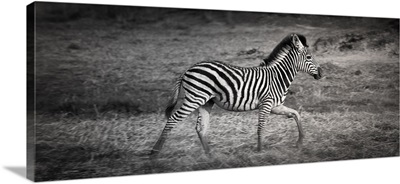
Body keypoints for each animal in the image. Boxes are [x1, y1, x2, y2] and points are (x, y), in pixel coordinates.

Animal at [150, 33, 322, 155]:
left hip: (206, 101)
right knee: (173, 119)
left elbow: (296, 114)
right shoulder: (266, 104)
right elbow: (261, 127)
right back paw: (155, 152)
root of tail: (188, 70)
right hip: (194, 98)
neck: (277, 77)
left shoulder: (276, 106)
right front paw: (260, 151)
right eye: (309, 57)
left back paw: (210, 155)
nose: (321, 74)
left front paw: (300, 142)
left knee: (200, 127)